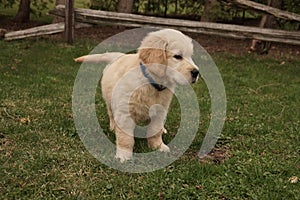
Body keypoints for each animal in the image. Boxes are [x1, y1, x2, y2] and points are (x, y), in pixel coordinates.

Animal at [75, 28, 199, 162]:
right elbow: (125, 138)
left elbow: (155, 130)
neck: (151, 83)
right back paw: (113, 126)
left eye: (190, 56)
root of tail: (118, 56)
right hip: (109, 99)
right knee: (111, 113)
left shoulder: (160, 111)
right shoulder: (125, 112)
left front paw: (158, 147)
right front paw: (124, 155)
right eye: (177, 56)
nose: (196, 72)